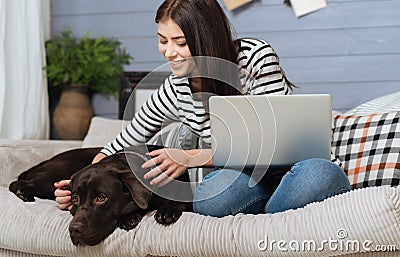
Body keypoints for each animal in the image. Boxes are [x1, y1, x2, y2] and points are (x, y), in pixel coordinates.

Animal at [9, 145, 194, 245]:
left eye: (101, 198)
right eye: (75, 199)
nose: (73, 229)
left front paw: (167, 210)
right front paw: (129, 217)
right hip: (53, 180)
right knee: (16, 183)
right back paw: (23, 193)